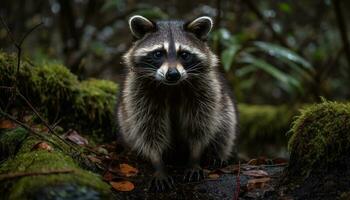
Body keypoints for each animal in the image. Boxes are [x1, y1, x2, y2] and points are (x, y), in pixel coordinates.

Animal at [117, 15, 238, 191]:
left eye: (185, 54)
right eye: (158, 53)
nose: (173, 74)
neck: (172, 86)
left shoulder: (206, 91)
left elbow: (200, 125)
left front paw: (195, 157)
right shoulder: (139, 94)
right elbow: (149, 129)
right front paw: (157, 162)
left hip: (224, 102)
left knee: (226, 124)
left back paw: (216, 154)